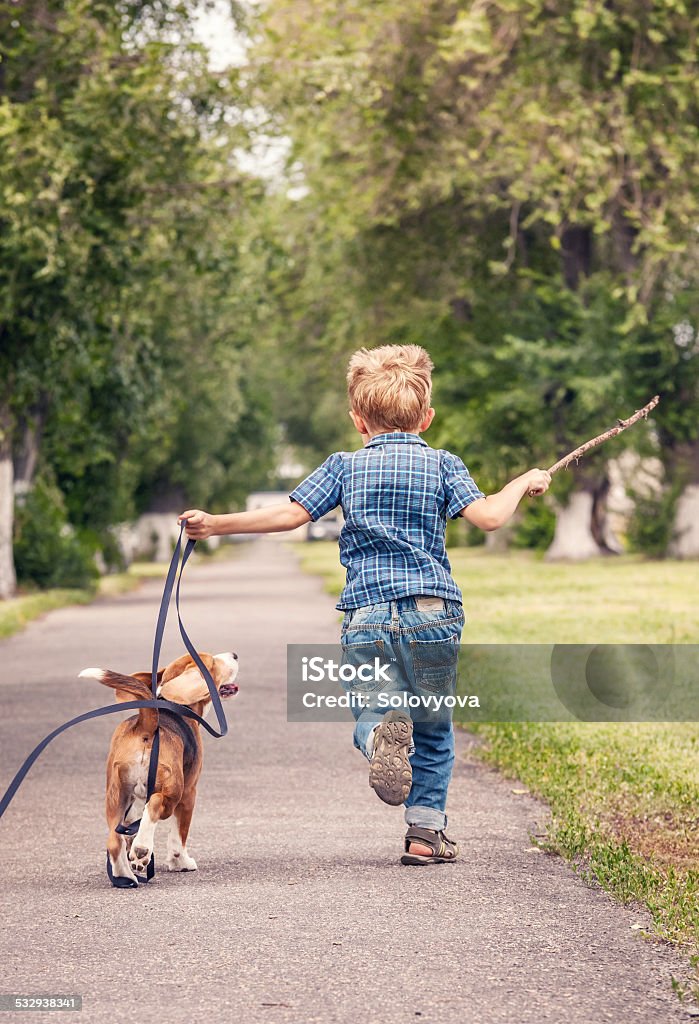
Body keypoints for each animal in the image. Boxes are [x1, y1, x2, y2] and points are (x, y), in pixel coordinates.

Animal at [78, 655, 237, 888]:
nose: (234, 655)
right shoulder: (189, 793)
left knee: (114, 841)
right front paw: (181, 862)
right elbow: (179, 835)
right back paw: (142, 849)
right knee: (153, 806)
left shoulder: (134, 802)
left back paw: (126, 874)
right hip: (172, 793)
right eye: (214, 663)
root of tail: (147, 726)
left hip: (116, 796)